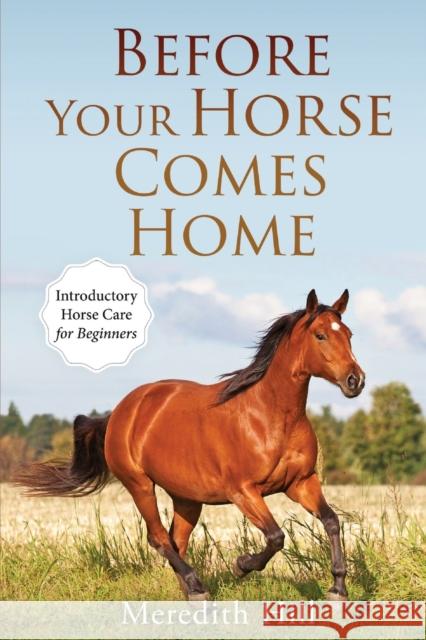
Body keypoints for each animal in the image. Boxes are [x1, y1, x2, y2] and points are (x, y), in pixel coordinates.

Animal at [15, 289, 365, 600]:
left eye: (349, 334)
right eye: (320, 335)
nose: (355, 381)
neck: (271, 417)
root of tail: (119, 413)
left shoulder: (301, 483)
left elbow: (332, 521)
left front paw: (338, 589)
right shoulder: (243, 491)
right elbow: (276, 536)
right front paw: (241, 565)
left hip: (186, 498)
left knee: (176, 540)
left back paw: (192, 593)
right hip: (140, 485)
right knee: (159, 538)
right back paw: (198, 588)